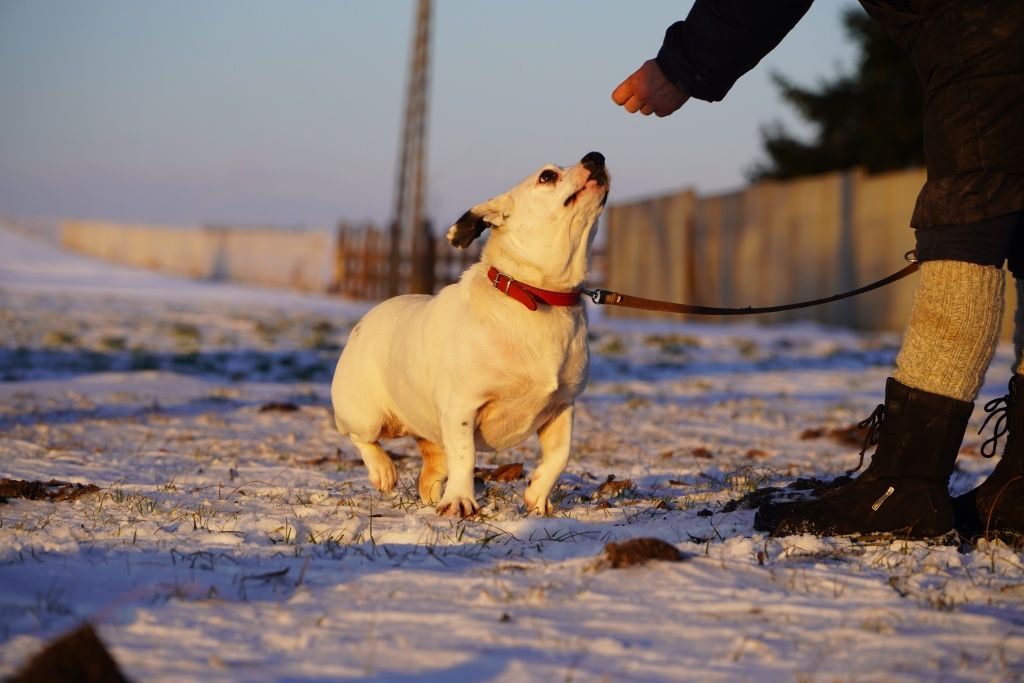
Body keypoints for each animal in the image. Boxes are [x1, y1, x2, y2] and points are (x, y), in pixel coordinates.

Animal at [331, 152, 610, 516]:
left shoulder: (563, 407)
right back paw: (384, 471)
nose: (596, 156)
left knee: (431, 470)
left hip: (430, 433)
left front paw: (537, 498)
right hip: (365, 413)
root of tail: (364, 320)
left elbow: (560, 457)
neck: (535, 294)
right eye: (547, 176)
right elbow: (466, 457)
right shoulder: (462, 407)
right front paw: (461, 502)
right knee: (362, 438)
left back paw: (432, 496)